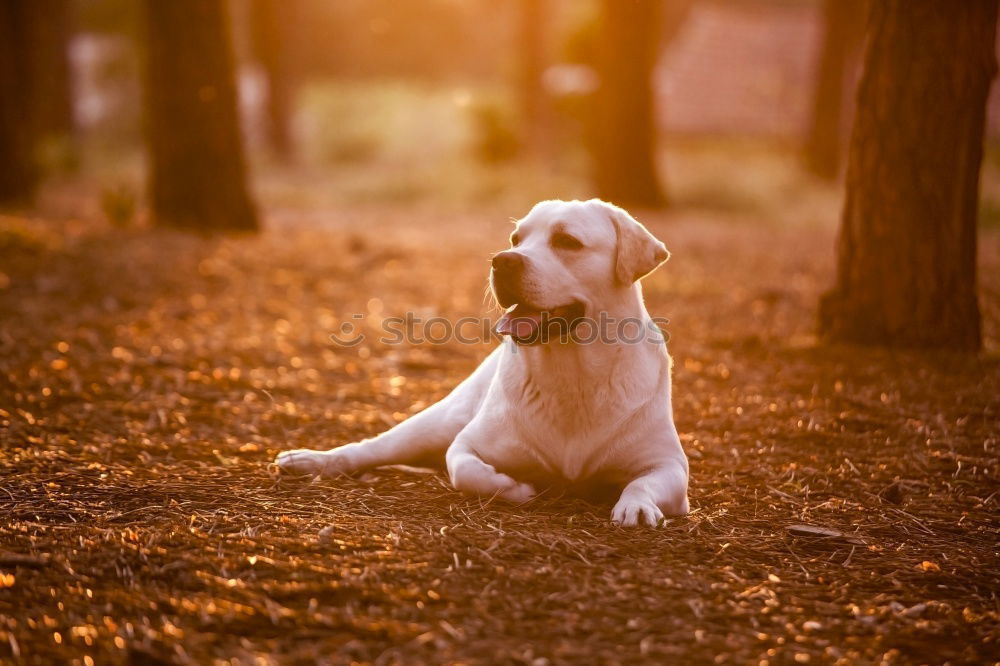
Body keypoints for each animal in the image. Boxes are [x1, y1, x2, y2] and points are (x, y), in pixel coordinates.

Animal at [278, 197, 692, 524]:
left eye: (567, 241)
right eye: (516, 240)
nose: (503, 261)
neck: (572, 371)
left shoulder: (670, 466)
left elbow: (642, 483)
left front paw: (635, 506)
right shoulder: (466, 444)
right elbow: (466, 470)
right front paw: (517, 487)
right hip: (434, 423)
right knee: (367, 449)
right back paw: (308, 460)